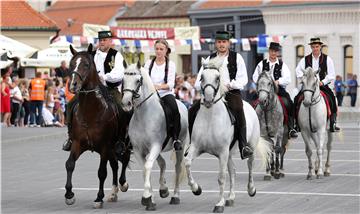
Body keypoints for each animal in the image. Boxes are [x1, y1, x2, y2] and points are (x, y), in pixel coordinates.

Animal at [64, 44, 131, 208]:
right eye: (71, 64)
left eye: (86, 65)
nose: (73, 85)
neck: (91, 112)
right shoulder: (77, 143)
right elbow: (69, 164)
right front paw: (69, 195)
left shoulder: (104, 146)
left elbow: (101, 172)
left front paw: (98, 198)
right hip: (112, 150)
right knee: (115, 165)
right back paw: (113, 193)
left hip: (122, 144)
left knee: (124, 159)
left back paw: (123, 184)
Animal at [120, 60, 188, 211]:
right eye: (123, 80)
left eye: (138, 80)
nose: (126, 104)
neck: (144, 115)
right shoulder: (139, 150)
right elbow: (144, 170)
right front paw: (150, 198)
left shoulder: (155, 146)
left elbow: (148, 167)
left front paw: (147, 198)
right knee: (162, 163)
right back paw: (163, 189)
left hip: (179, 146)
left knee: (178, 167)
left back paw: (175, 196)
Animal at [183, 56, 270, 212]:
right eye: (202, 77)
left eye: (217, 78)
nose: (208, 99)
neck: (210, 119)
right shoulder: (197, 148)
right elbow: (187, 163)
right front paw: (196, 189)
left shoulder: (222, 152)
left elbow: (221, 177)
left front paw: (219, 203)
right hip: (229, 153)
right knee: (233, 171)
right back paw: (231, 197)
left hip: (250, 147)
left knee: (250, 165)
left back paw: (251, 189)